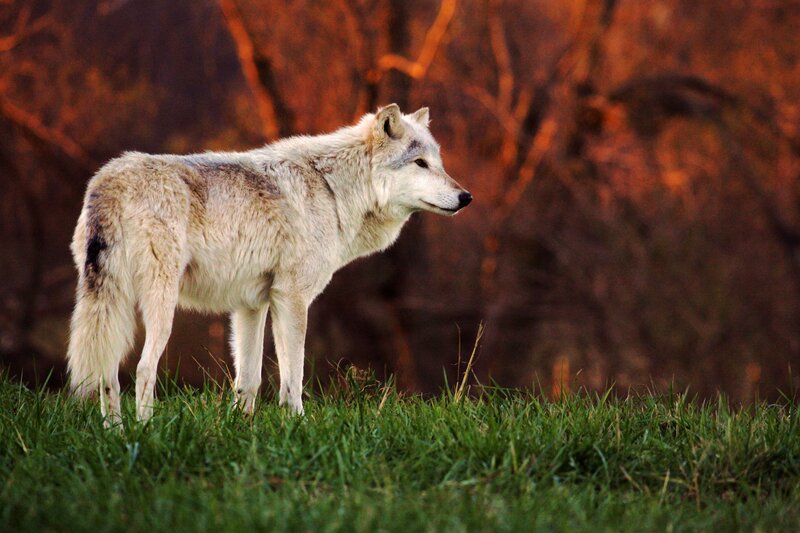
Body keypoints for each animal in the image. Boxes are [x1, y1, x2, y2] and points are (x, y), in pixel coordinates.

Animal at [66, 104, 471, 425]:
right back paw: (145, 433)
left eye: (439, 163)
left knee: (107, 373)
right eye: (420, 163)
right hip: (159, 306)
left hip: (112, 303)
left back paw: (115, 433)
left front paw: (239, 429)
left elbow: (248, 380)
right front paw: (299, 425)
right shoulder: (291, 299)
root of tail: (109, 180)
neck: (333, 191)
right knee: (142, 369)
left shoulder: (251, 305)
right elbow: (293, 376)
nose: (466, 196)